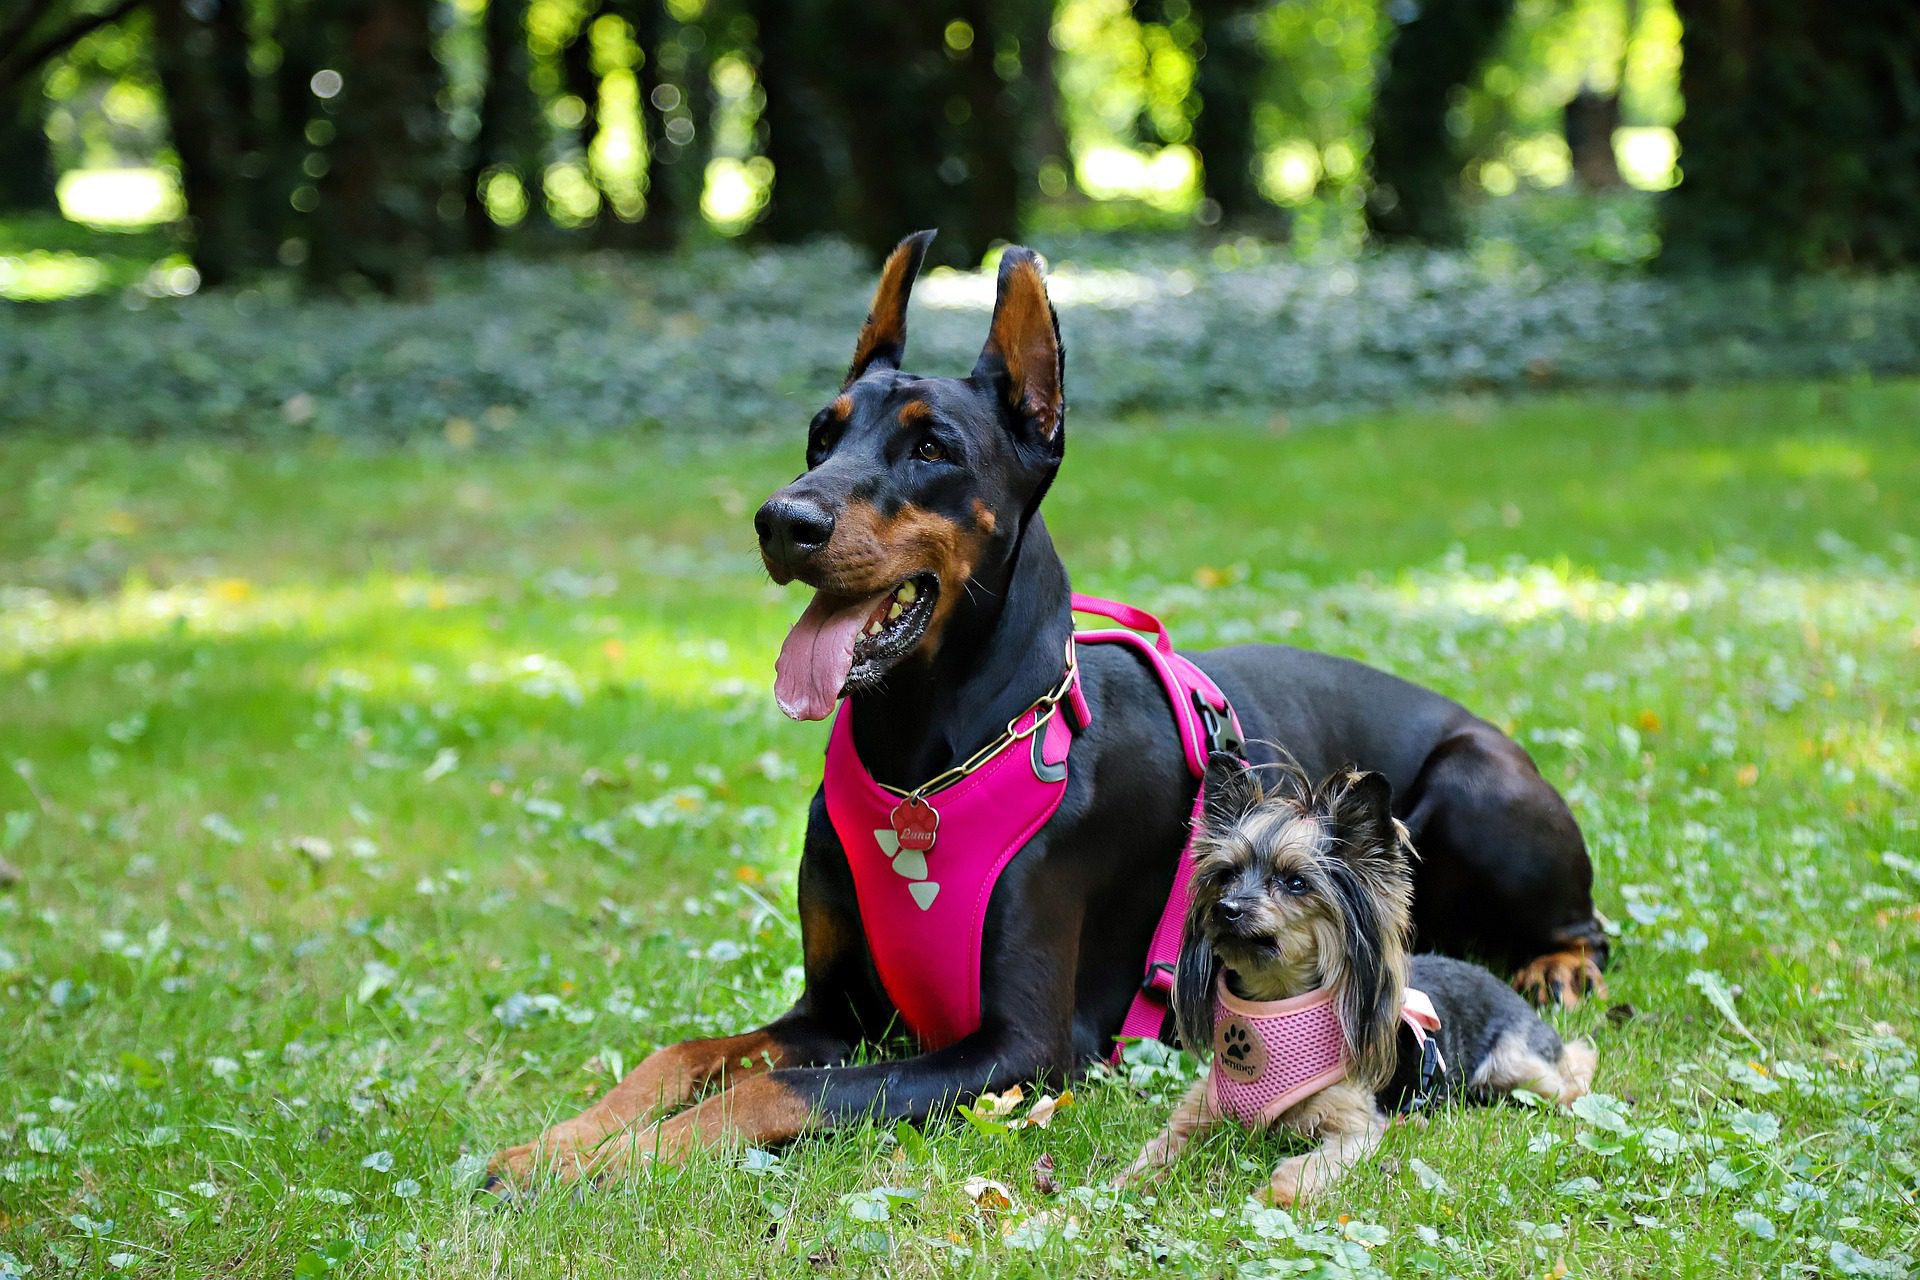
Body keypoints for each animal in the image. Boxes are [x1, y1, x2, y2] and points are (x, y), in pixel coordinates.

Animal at [487, 233, 1612, 1189]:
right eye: (820, 432)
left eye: (932, 448)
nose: (782, 520)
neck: (925, 752)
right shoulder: (838, 1007)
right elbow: (687, 1054)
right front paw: (559, 1144)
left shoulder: (1021, 1047)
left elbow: (773, 1088)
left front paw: (611, 1161)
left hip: (1474, 788)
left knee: (1585, 928)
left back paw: (1555, 967)